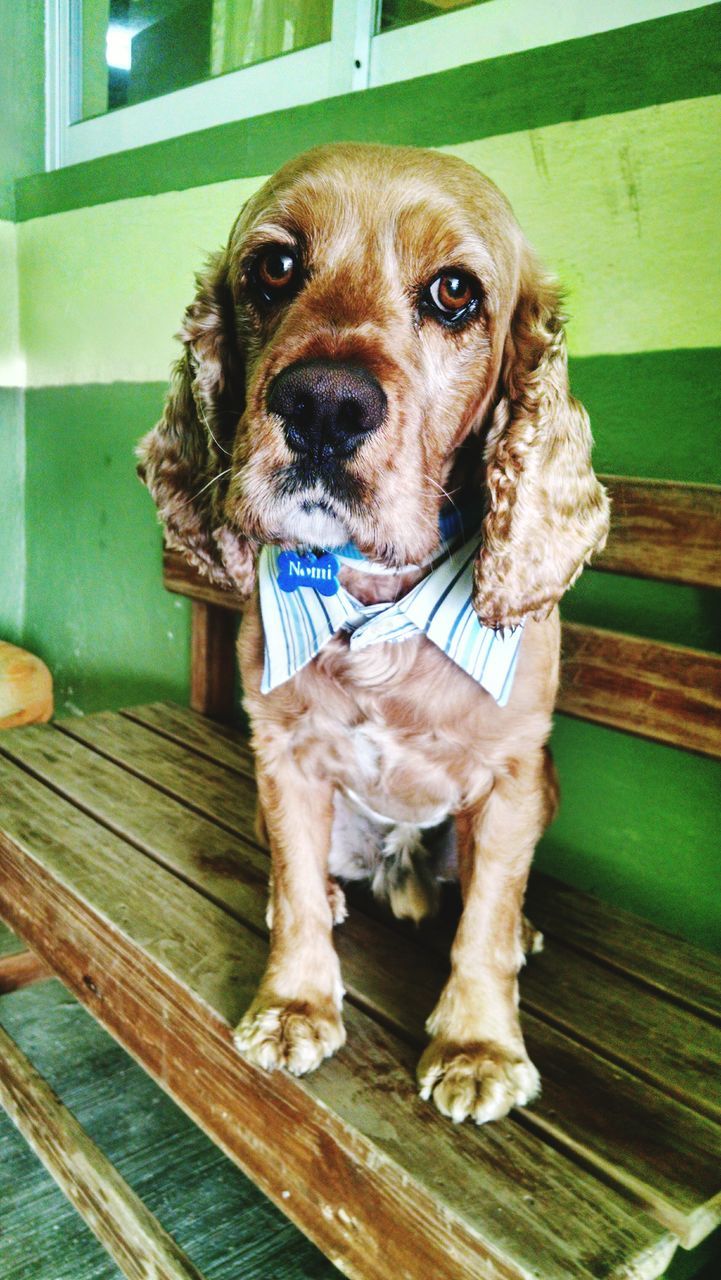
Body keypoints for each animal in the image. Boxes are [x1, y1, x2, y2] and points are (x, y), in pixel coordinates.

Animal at [137, 145, 609, 1126]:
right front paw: (293, 1004)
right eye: (274, 267)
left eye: (455, 292)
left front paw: (476, 1046)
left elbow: (482, 926)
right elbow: (295, 892)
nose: (323, 404)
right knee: (304, 878)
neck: (376, 598)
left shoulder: (514, 775)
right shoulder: (280, 755)